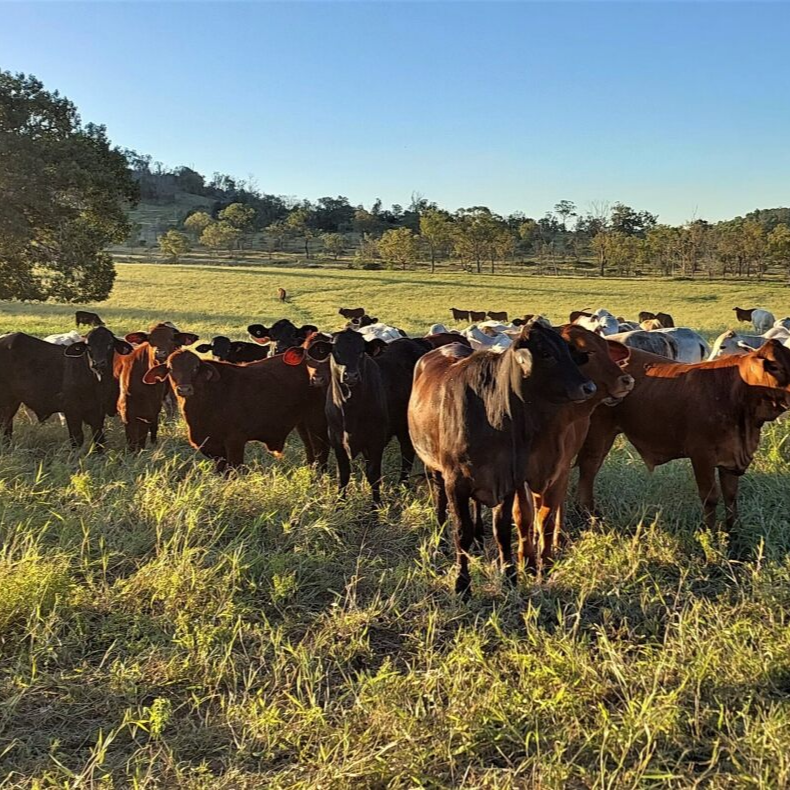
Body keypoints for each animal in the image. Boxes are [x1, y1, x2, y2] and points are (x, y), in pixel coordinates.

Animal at [142, 348, 329, 473]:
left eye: (195, 367)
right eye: (170, 369)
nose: (184, 389)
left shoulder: (235, 441)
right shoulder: (213, 447)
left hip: (316, 419)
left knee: (321, 449)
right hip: (302, 422)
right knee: (310, 448)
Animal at [323, 330, 429, 506]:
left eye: (361, 352)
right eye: (336, 351)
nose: (351, 376)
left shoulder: (375, 440)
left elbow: (373, 475)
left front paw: (376, 507)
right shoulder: (336, 439)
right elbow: (343, 474)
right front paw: (339, 503)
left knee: (407, 454)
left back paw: (403, 486)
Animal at [408, 323, 596, 595]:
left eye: (568, 351)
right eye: (546, 353)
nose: (588, 387)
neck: (493, 414)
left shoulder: (507, 480)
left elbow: (503, 530)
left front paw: (509, 576)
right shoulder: (456, 482)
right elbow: (461, 531)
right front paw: (462, 584)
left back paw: (478, 538)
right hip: (433, 467)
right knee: (440, 503)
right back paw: (440, 541)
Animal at [576, 341, 790, 544]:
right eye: (774, 366)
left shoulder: (730, 460)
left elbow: (731, 497)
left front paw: (733, 534)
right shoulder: (702, 455)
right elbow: (710, 497)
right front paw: (711, 537)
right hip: (597, 435)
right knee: (588, 472)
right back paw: (591, 518)